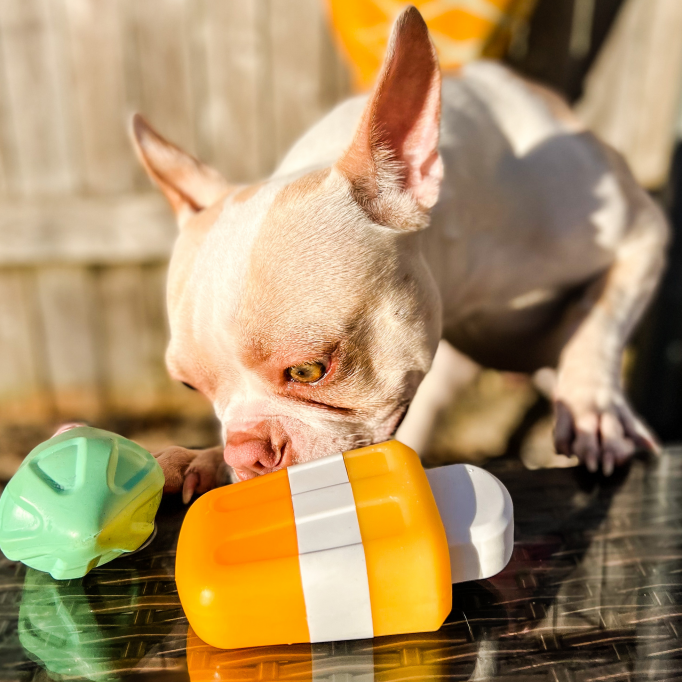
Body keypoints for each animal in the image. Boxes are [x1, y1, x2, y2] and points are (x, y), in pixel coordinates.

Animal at [122, 2, 664, 496]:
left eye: (309, 371)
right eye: (192, 388)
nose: (247, 453)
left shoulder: (643, 235)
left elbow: (597, 318)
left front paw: (593, 408)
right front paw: (205, 458)